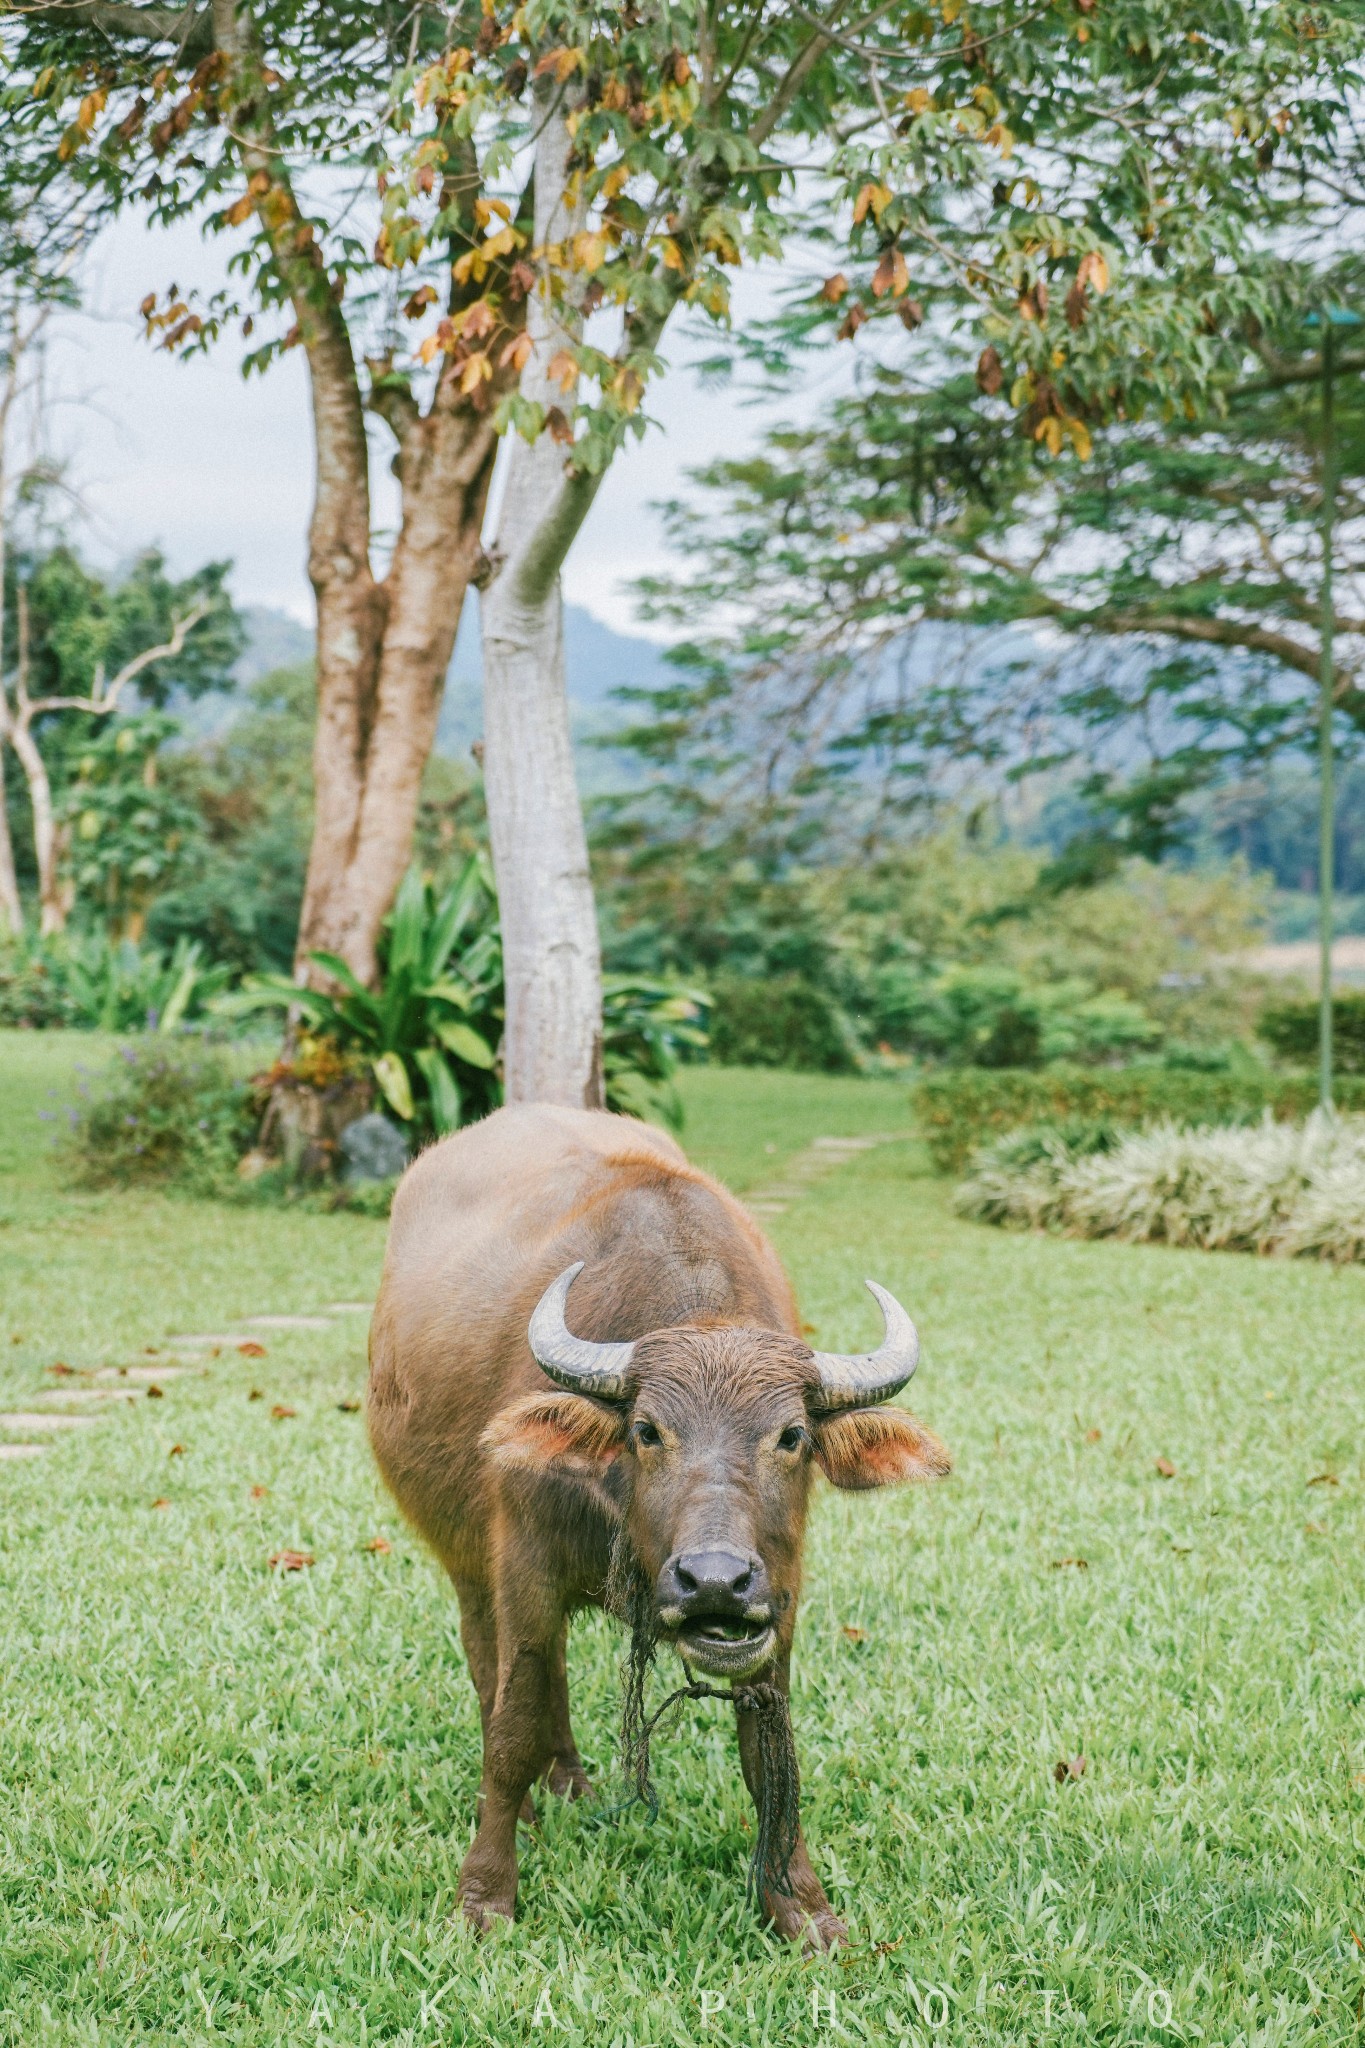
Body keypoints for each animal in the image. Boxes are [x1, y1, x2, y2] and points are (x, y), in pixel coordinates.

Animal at [368, 1105, 957, 1949]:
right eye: (647, 1431)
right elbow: (512, 1726)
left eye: (791, 1437)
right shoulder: (523, 1566)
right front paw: (484, 1897)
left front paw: (802, 1910)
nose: (714, 1581)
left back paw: (573, 1785)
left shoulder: (777, 1600)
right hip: (466, 1561)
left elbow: (769, 1753)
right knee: (496, 1674)